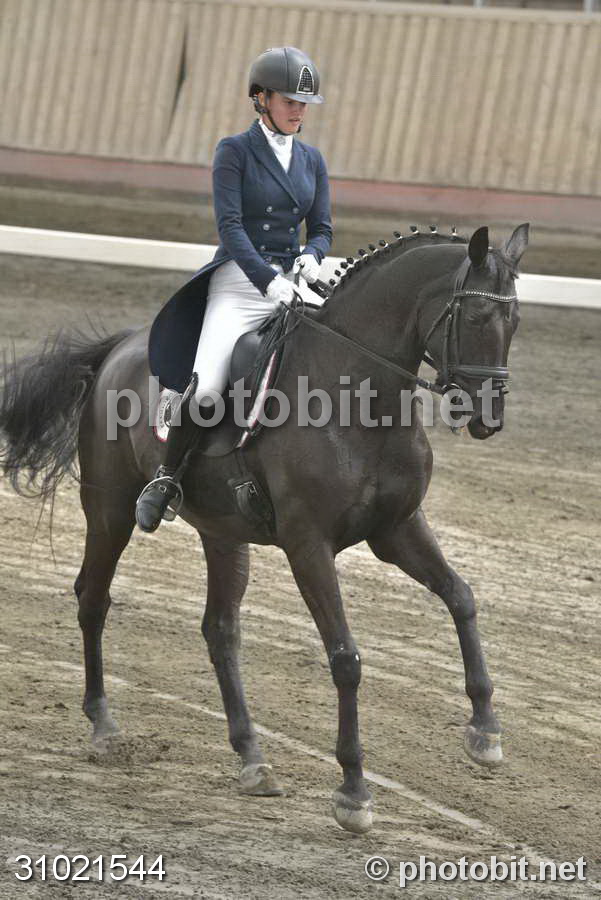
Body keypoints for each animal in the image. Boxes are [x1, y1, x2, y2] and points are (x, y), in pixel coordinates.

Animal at [0, 223, 529, 834]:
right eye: (476, 316)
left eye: (515, 319)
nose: (488, 416)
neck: (359, 394)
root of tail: (120, 347)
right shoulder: (308, 545)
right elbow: (345, 658)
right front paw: (353, 792)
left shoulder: (396, 530)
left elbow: (461, 598)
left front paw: (485, 731)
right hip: (108, 510)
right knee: (94, 599)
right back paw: (105, 727)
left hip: (223, 533)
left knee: (220, 631)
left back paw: (252, 757)